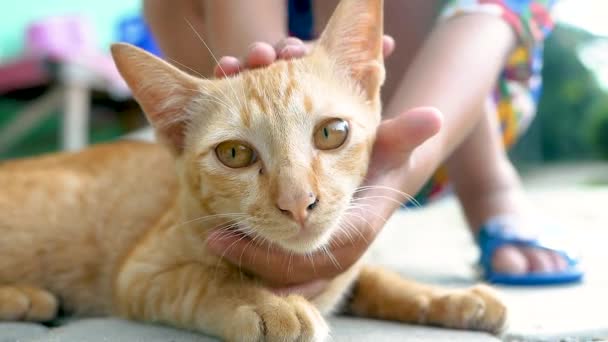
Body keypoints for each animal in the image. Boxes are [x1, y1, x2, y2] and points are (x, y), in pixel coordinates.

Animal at [0, 0, 506, 340]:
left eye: (332, 133)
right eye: (234, 154)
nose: (298, 201)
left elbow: (375, 277)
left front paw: (448, 297)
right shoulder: (140, 275)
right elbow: (205, 279)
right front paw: (268, 306)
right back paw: (24, 296)